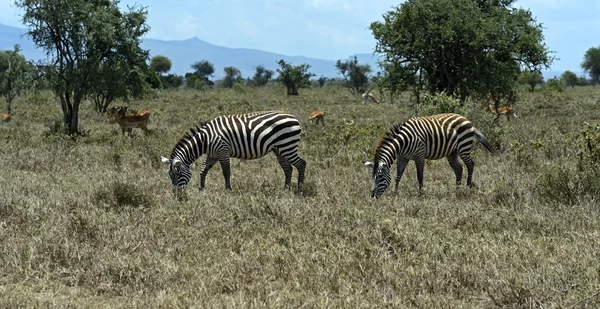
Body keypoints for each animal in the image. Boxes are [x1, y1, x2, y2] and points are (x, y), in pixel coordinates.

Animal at [161, 109, 304, 191]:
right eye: (170, 176)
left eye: (177, 174)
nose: (177, 195)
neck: (205, 139)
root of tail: (294, 117)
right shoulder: (212, 155)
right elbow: (203, 171)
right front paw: (201, 188)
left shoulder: (222, 151)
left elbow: (226, 172)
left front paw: (228, 190)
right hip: (278, 149)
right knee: (288, 168)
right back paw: (286, 189)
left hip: (287, 145)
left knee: (301, 163)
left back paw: (300, 187)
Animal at [364, 112, 494, 197]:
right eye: (372, 177)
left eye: (380, 177)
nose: (373, 195)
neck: (403, 142)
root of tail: (467, 120)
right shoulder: (402, 157)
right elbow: (398, 175)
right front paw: (395, 193)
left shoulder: (419, 156)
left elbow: (419, 176)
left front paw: (421, 194)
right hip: (452, 152)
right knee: (459, 168)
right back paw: (457, 189)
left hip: (464, 147)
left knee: (470, 164)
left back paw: (468, 186)